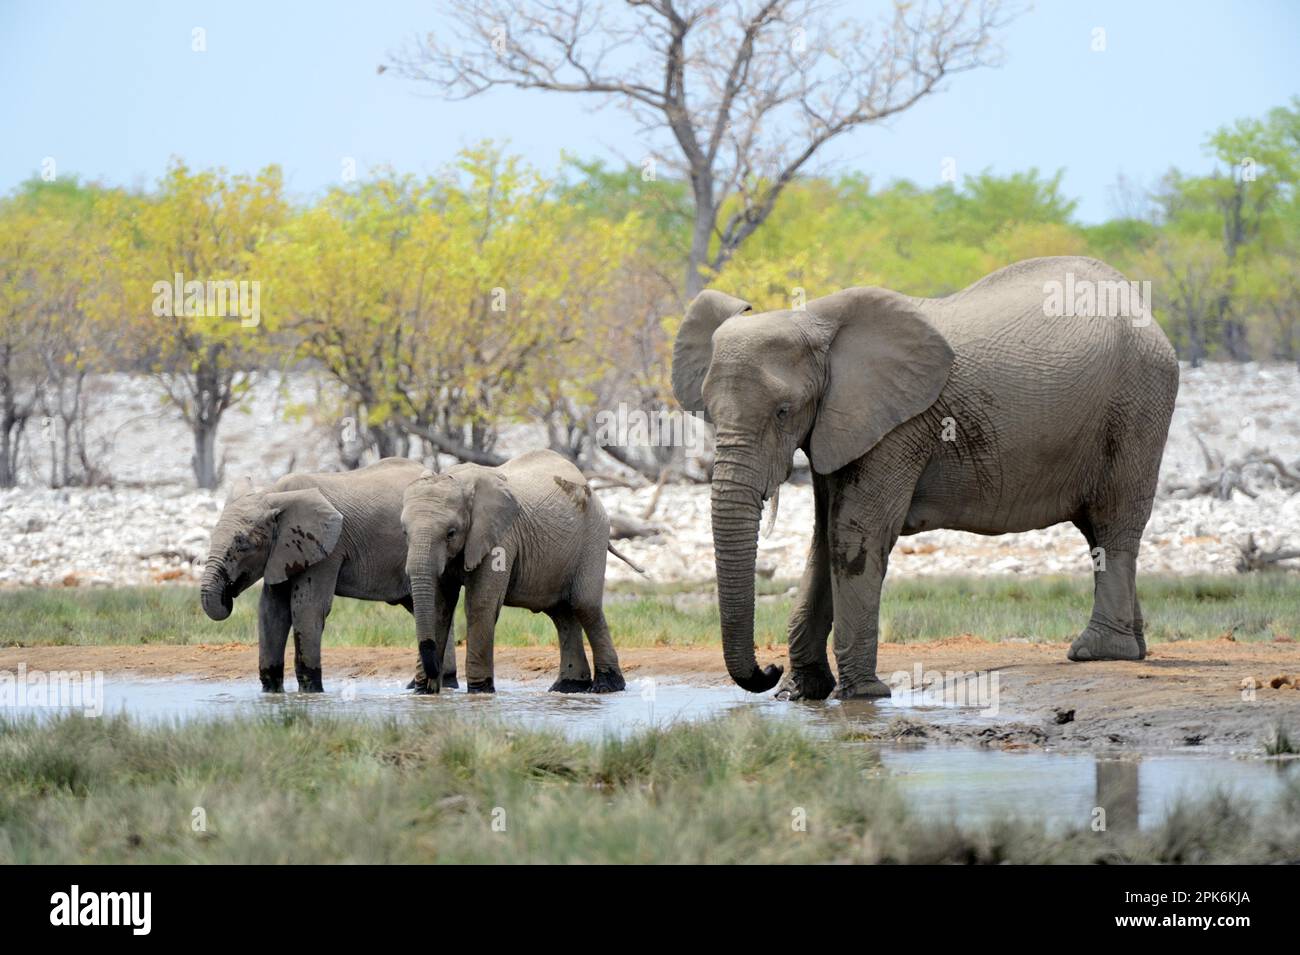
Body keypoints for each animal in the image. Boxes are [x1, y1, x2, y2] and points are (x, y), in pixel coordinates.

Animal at [400, 446, 634, 696]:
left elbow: (480, 605)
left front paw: (480, 691)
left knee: (584, 605)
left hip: (593, 534)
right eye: (404, 533)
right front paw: (422, 694)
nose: (435, 680)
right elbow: (439, 606)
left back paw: (606, 687)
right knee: (562, 613)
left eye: (451, 533)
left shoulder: (501, 537)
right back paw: (569, 687)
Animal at [676, 257, 1185, 696]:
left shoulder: (897, 426)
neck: (817, 323)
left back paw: (1098, 652)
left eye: (783, 411)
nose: (769, 668)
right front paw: (804, 694)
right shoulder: (837, 422)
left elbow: (856, 534)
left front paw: (864, 695)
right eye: (710, 412)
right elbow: (824, 540)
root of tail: (1141, 305)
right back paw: (1133, 649)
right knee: (1097, 530)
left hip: (1138, 404)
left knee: (1114, 523)